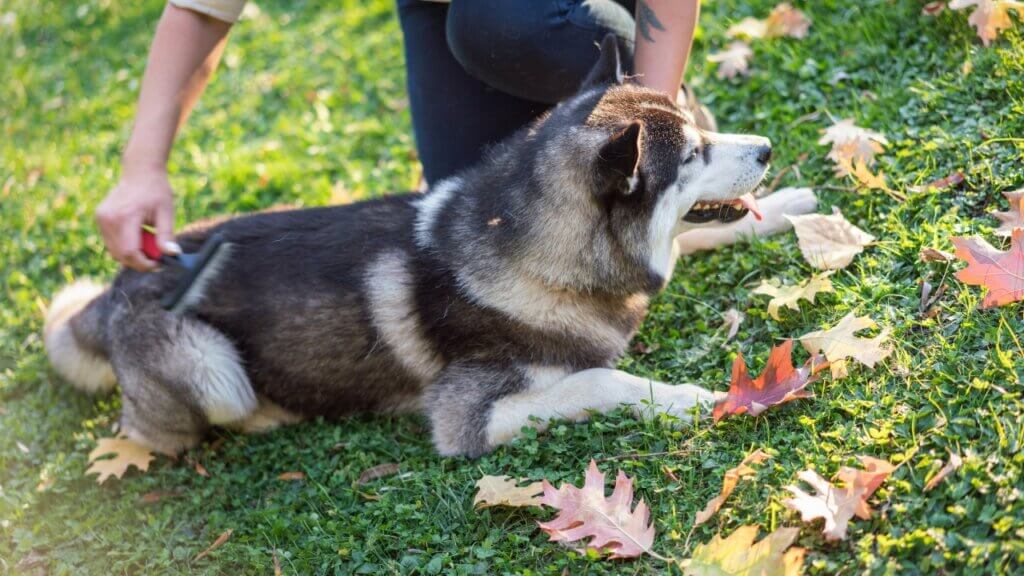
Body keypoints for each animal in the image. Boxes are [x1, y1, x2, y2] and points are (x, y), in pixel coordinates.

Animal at [44, 36, 815, 457]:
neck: (532, 259)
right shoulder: (467, 419)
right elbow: (601, 380)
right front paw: (683, 397)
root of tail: (115, 290)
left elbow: (703, 232)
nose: (766, 149)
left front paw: (785, 208)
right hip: (213, 372)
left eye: (698, 130)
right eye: (689, 155)